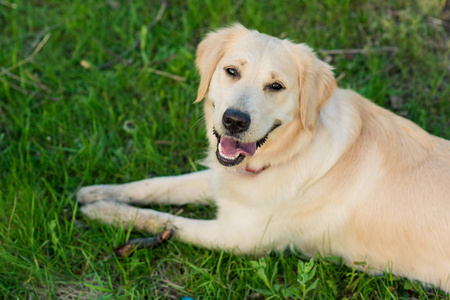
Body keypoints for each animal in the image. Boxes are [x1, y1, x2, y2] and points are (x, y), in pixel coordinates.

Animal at [77, 24, 450, 292]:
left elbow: (165, 221)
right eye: (231, 71)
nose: (234, 120)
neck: (291, 152)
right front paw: (96, 193)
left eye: (276, 86)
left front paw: (104, 212)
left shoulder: (238, 237)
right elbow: (156, 185)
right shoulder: (222, 179)